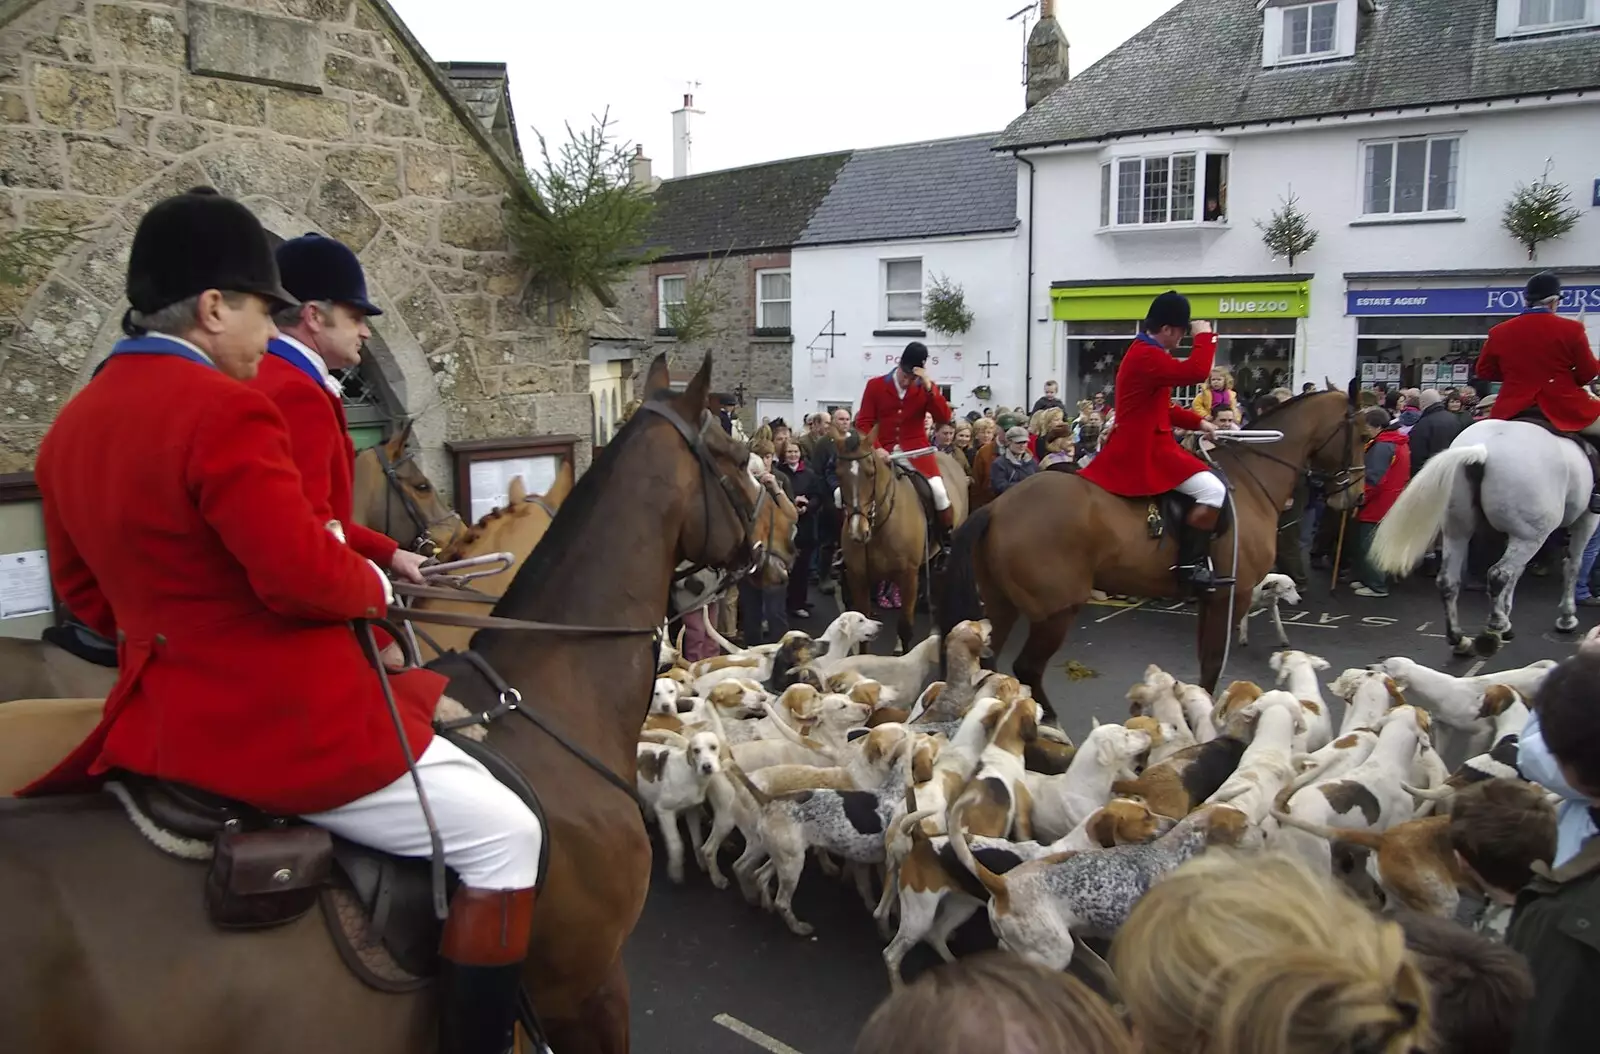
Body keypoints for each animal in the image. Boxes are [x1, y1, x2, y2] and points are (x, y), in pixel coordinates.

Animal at [832, 425, 966, 655]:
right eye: (838, 473)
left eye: (871, 473)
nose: (858, 531)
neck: (878, 527)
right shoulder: (858, 577)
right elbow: (862, 628)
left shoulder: (908, 577)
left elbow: (905, 628)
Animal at [934, 391, 1363, 713]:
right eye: (1361, 432)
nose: (1354, 496)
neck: (1249, 482)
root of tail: (997, 506)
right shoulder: (1232, 595)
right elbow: (1213, 662)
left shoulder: (1212, 599)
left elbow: (1207, 663)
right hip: (1055, 610)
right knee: (1027, 667)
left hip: (1002, 602)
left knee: (989, 662)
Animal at [1363, 422, 1600, 655]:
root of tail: (1481, 451)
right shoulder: (1587, 519)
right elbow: (1573, 565)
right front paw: (1567, 618)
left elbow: (1519, 574)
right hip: (1531, 536)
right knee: (1498, 574)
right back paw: (1495, 624)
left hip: (1459, 529)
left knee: (1449, 580)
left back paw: (1460, 638)